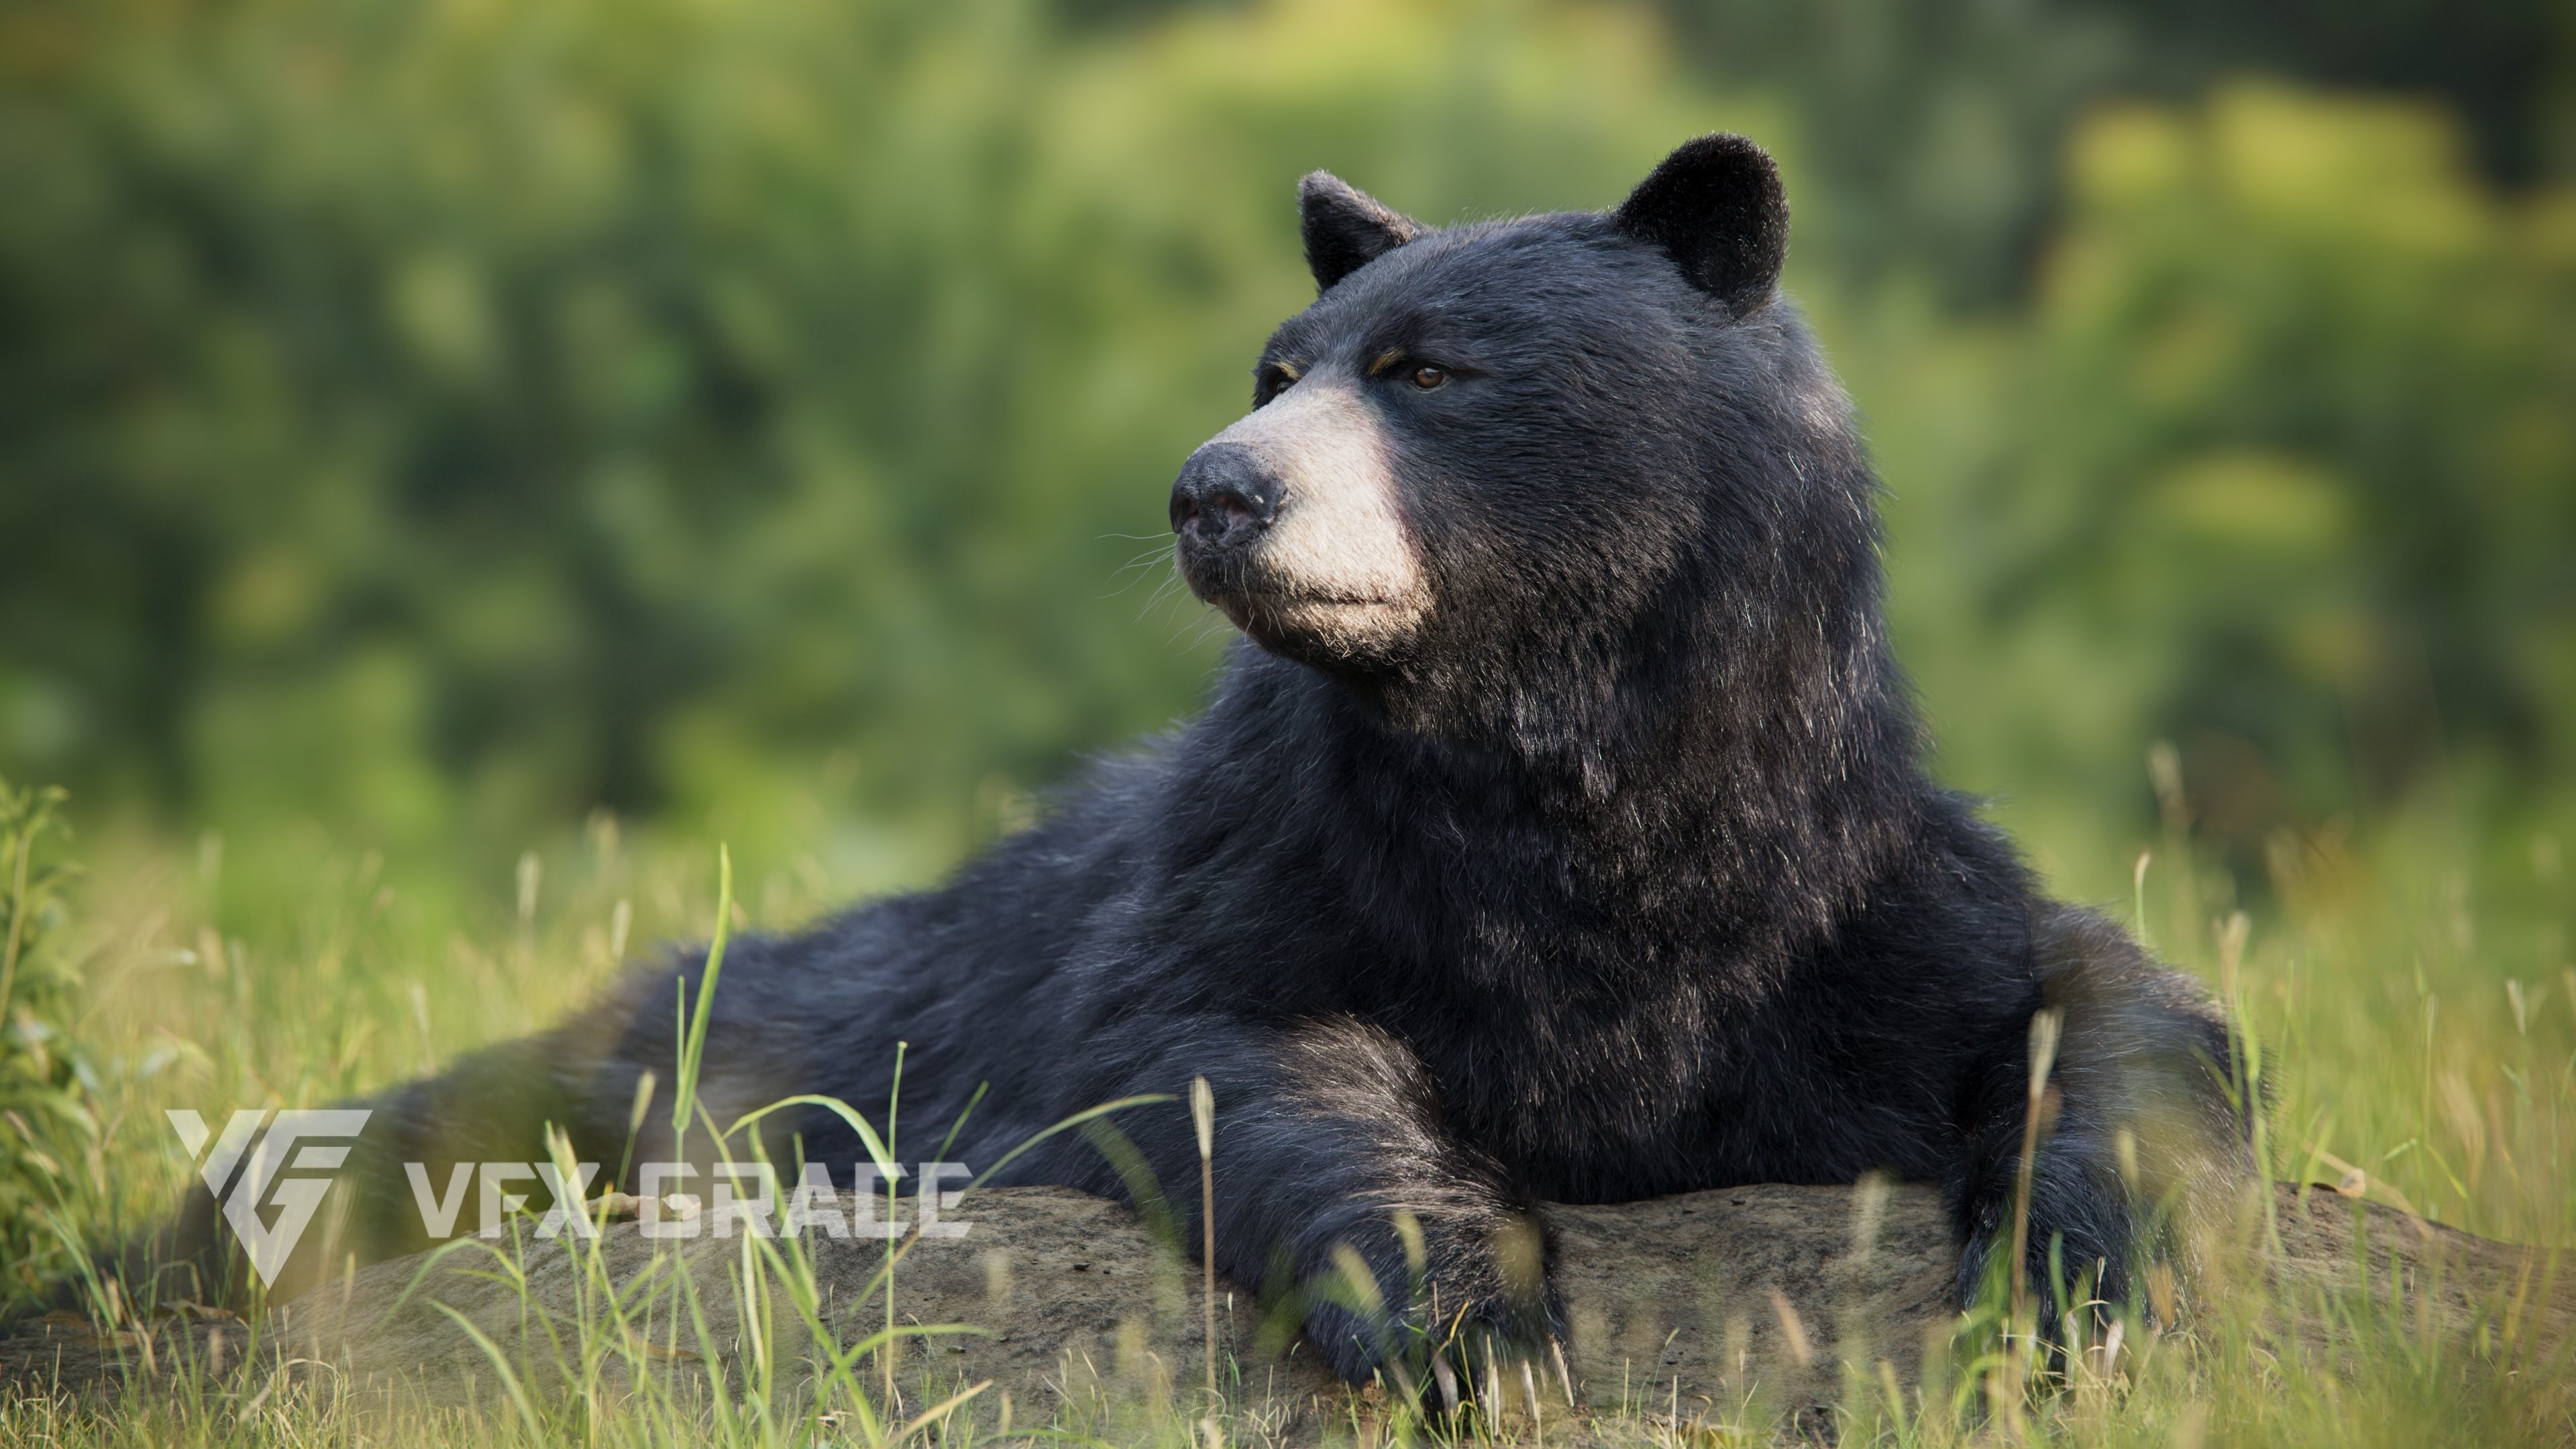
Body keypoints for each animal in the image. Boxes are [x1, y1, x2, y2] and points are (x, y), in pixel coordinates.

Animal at [156, 134, 2249, 1391]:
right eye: (1276, 368)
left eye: (1425, 371)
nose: (1212, 491)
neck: (1546, 765)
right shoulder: (1264, 871)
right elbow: (1223, 1051)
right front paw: (1477, 1325)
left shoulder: (1834, 873)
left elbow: (2097, 993)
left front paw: (2082, 1292)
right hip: (679, 1052)